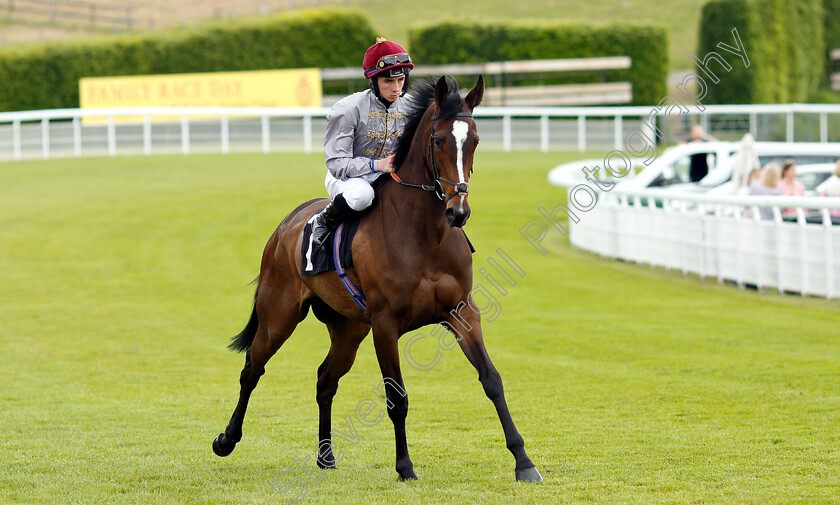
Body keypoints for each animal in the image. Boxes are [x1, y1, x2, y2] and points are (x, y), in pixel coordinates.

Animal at [212, 74, 544, 480]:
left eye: (475, 140)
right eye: (438, 140)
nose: (458, 211)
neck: (424, 234)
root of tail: (284, 226)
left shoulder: (462, 312)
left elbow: (492, 380)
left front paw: (524, 463)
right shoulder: (386, 324)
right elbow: (396, 398)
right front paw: (405, 467)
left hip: (349, 328)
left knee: (325, 379)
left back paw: (326, 456)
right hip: (278, 316)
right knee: (252, 369)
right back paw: (226, 439)